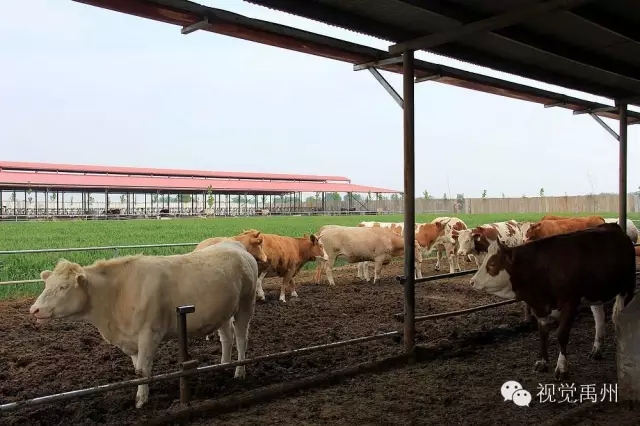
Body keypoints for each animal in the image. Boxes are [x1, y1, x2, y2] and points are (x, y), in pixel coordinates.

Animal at [29, 240, 259, 408]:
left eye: (63, 287)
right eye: (46, 284)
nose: (34, 309)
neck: (116, 294)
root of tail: (234, 244)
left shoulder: (150, 334)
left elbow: (143, 368)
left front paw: (140, 401)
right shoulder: (131, 340)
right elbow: (139, 369)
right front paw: (145, 391)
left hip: (246, 304)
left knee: (241, 338)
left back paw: (239, 372)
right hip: (223, 312)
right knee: (227, 337)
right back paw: (222, 366)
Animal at [469, 223, 636, 379]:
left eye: (492, 264)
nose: (472, 282)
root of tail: (614, 226)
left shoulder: (570, 302)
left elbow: (561, 335)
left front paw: (561, 368)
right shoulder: (540, 307)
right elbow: (543, 333)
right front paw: (541, 362)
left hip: (627, 287)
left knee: (618, 315)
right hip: (595, 293)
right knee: (599, 318)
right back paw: (596, 350)